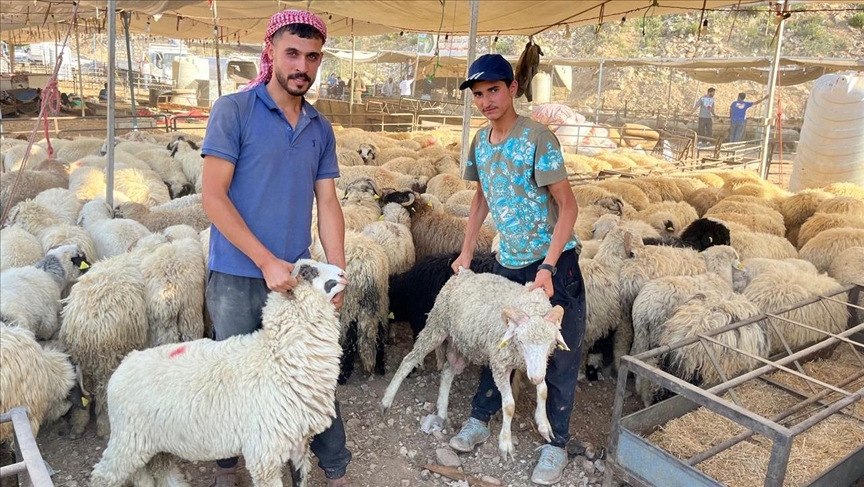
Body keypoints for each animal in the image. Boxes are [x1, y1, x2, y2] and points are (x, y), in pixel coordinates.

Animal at [60, 250, 149, 439]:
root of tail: (84, 332)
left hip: (84, 363)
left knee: (83, 396)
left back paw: (78, 424)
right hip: (107, 362)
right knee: (103, 395)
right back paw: (104, 428)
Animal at [89, 260, 348, 487]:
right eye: (306, 272)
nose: (343, 273)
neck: (277, 359)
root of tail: (125, 363)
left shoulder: (299, 445)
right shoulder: (264, 454)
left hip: (152, 441)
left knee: (159, 469)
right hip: (127, 439)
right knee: (103, 475)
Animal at [381, 269, 568, 458]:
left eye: (550, 342)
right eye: (521, 341)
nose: (535, 378)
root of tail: (463, 272)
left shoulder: (533, 364)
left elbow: (543, 391)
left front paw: (544, 425)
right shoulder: (500, 364)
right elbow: (509, 406)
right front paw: (506, 443)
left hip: (464, 346)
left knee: (447, 371)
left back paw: (441, 411)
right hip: (436, 327)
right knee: (409, 360)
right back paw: (387, 399)